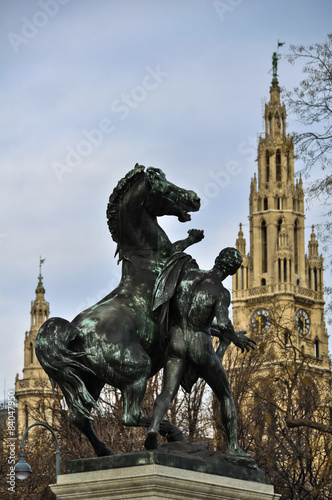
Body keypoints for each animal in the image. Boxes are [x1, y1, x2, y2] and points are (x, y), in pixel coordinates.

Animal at [36, 165, 202, 458]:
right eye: (165, 186)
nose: (195, 198)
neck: (147, 257)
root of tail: (75, 330)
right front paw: (192, 238)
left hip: (89, 380)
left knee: (80, 418)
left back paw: (105, 451)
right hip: (137, 369)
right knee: (130, 416)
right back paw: (168, 435)